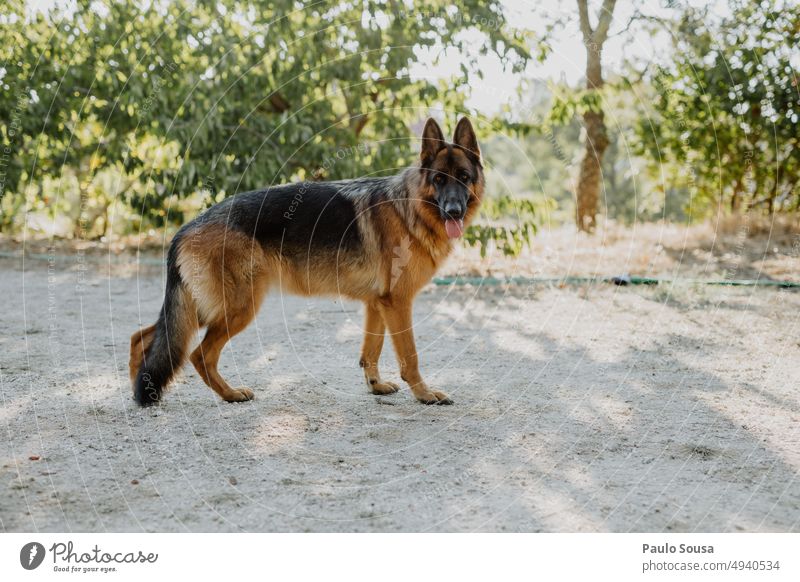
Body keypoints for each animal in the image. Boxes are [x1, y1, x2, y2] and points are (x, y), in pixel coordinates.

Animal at [128, 117, 484, 408]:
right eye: (438, 180)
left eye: (464, 177)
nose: (453, 211)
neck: (411, 208)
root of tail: (186, 228)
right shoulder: (397, 303)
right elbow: (410, 356)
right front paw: (425, 394)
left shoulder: (378, 304)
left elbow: (371, 350)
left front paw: (375, 385)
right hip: (235, 307)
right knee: (198, 354)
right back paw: (229, 394)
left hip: (199, 308)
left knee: (143, 338)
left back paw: (140, 393)